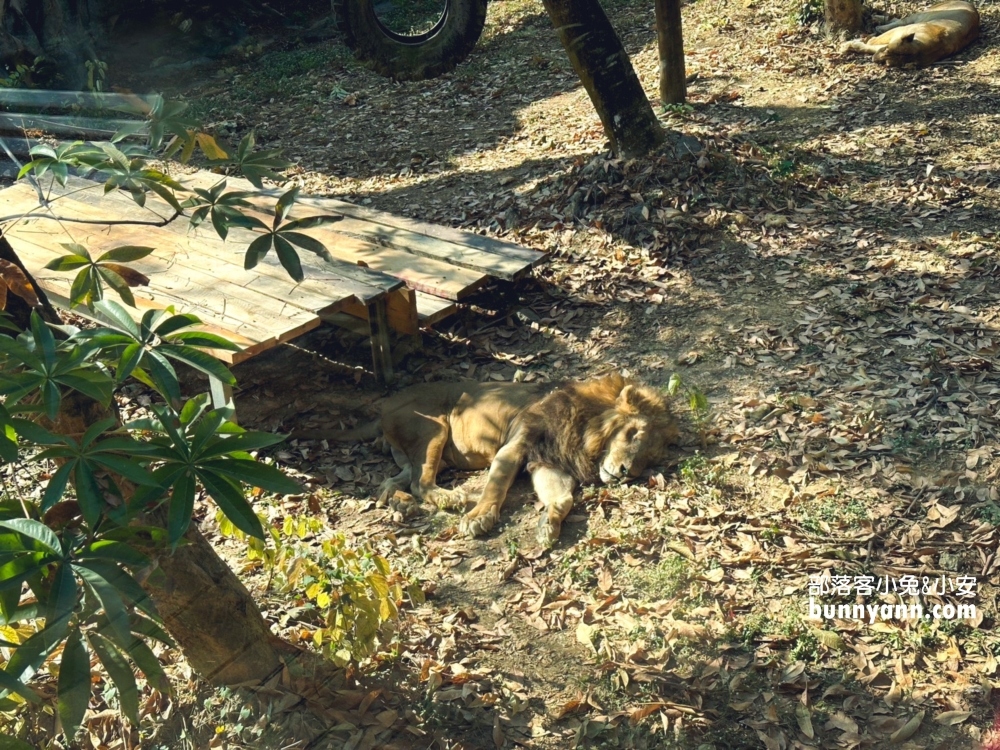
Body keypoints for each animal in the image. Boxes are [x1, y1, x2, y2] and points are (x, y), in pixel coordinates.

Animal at [292, 376, 676, 548]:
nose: (626, 473)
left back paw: (403, 505)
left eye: (647, 460)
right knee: (420, 482)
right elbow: (497, 487)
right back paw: (450, 499)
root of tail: (384, 407)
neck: (584, 431)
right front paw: (479, 518)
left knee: (394, 481)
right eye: (633, 433)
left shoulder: (548, 465)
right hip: (435, 427)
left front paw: (548, 526)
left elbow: (563, 498)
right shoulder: (516, 446)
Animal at [840, 0, 980, 67]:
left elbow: (870, 45)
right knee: (900, 20)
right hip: (922, 14)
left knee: (899, 21)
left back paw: (877, 23)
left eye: (887, 63)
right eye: (887, 50)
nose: (874, 60)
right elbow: (872, 44)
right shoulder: (896, 34)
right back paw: (877, 20)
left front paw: (849, 45)